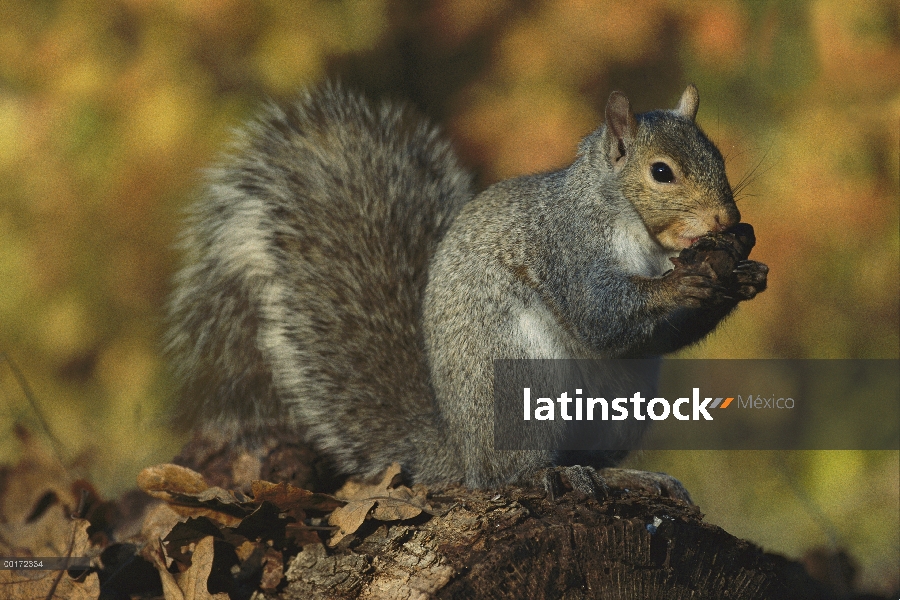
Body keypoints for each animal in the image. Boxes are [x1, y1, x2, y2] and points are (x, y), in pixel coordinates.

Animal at [163, 83, 768, 496]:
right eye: (661, 172)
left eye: (717, 155)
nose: (729, 218)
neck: (634, 226)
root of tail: (460, 456)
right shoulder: (566, 247)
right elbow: (601, 315)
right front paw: (686, 281)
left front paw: (743, 275)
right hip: (521, 389)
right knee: (515, 472)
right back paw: (556, 474)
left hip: (619, 409)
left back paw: (630, 478)